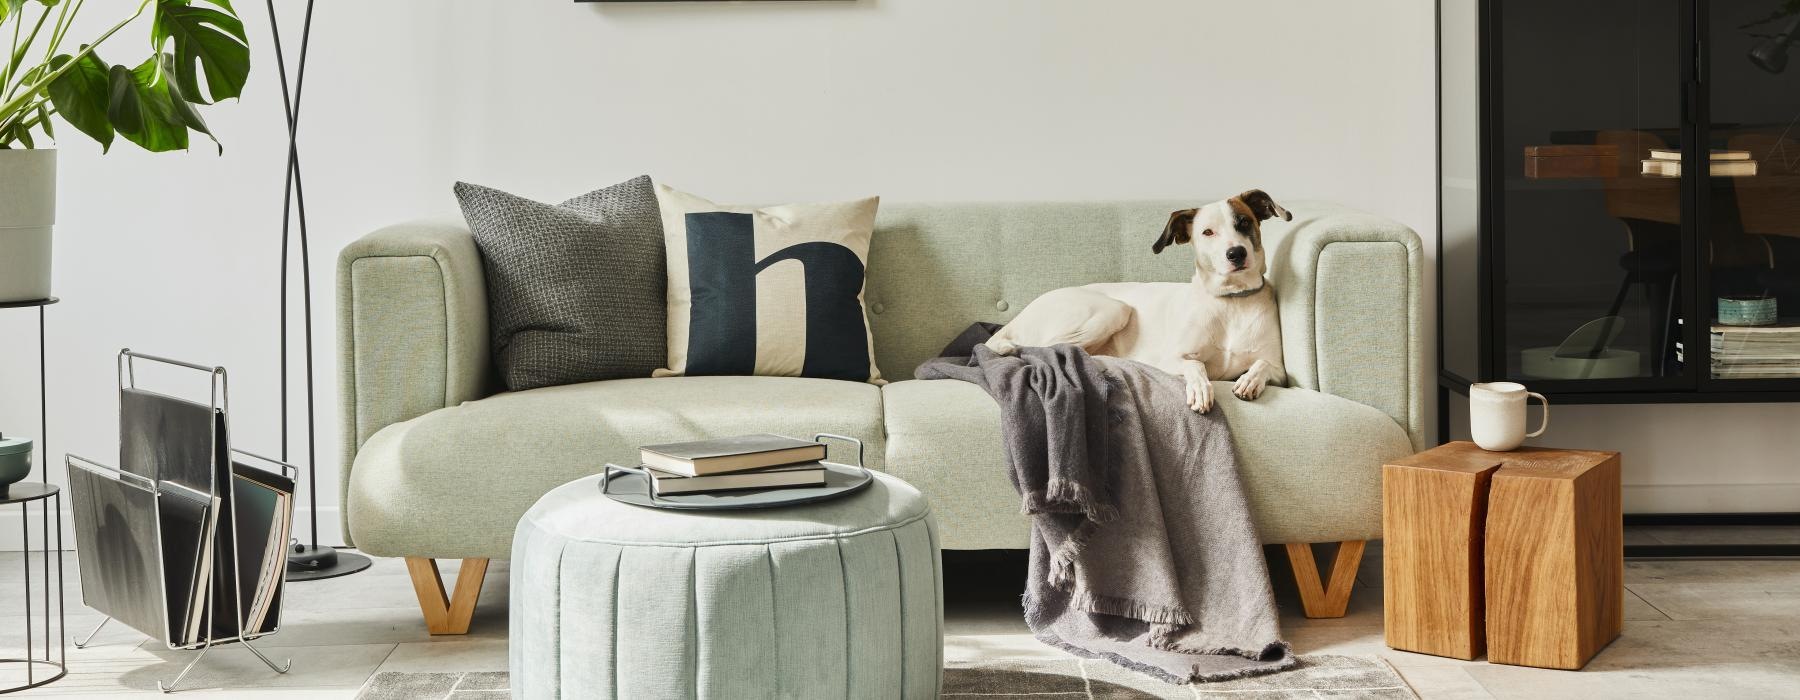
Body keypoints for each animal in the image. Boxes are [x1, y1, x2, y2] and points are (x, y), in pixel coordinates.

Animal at [986, 188, 1296, 412]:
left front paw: (1249, 380)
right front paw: (1200, 388)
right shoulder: (1171, 358)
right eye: (1207, 232)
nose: (1236, 253)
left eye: (1244, 222)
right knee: (1048, 350)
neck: (1231, 301)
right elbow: (1195, 365)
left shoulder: (1280, 373)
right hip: (1113, 309)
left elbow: (1262, 365)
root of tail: (1014, 321)